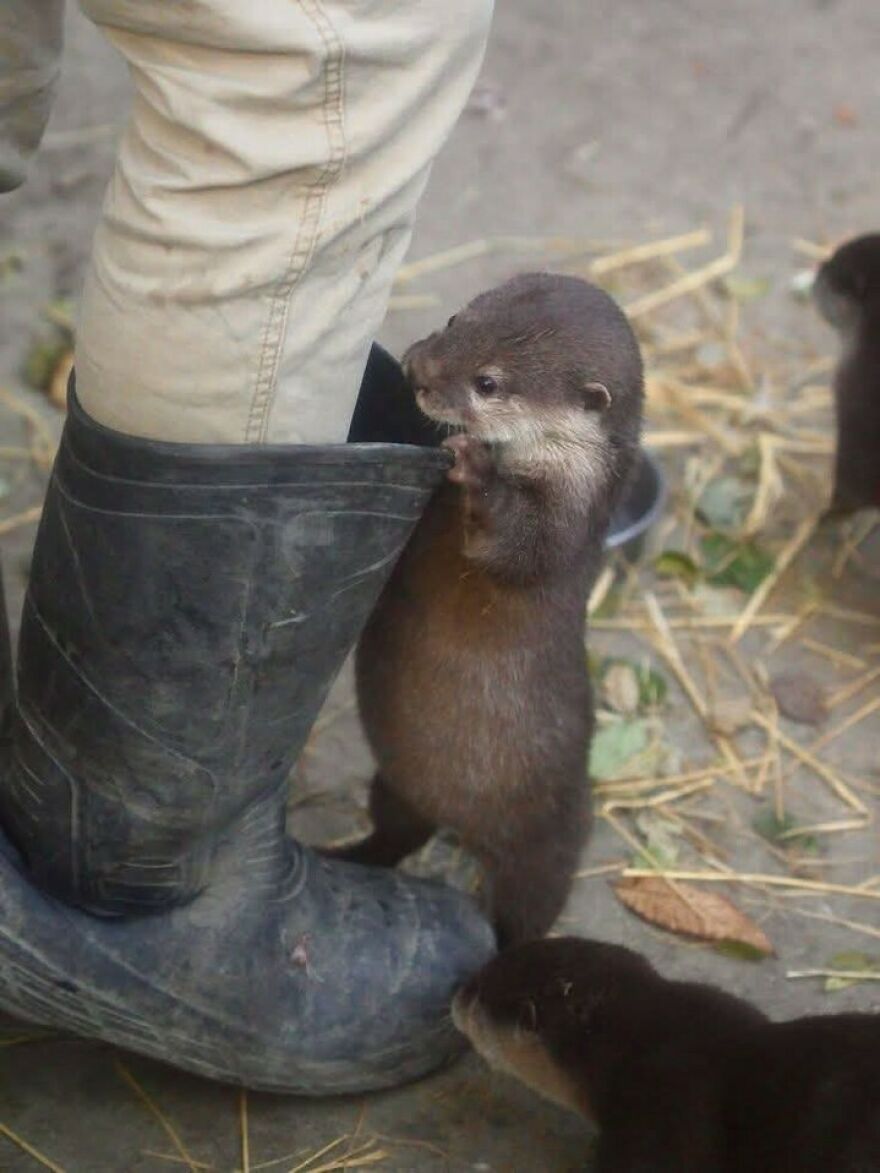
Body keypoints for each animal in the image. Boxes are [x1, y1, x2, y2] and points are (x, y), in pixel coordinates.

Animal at [329, 273, 644, 947]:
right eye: (455, 321)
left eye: (489, 383)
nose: (419, 369)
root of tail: (460, 825)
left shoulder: (563, 524)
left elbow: (514, 543)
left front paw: (472, 462)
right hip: (397, 786)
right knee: (395, 834)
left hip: (547, 845)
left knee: (527, 911)